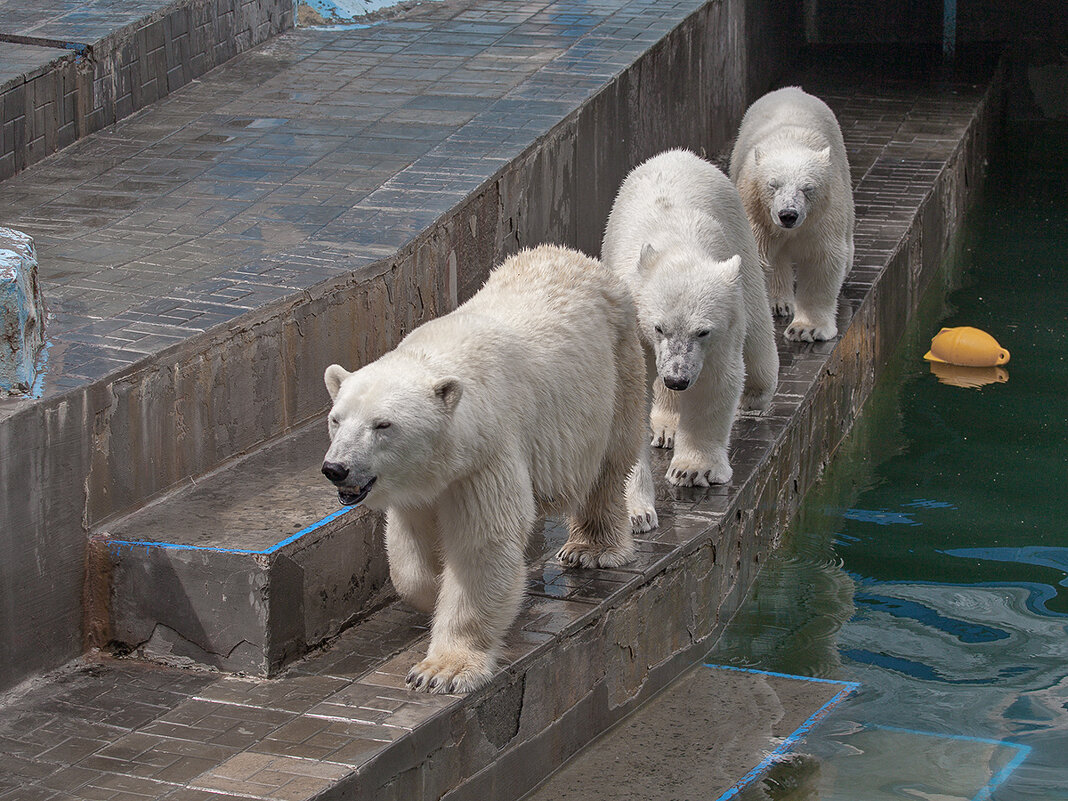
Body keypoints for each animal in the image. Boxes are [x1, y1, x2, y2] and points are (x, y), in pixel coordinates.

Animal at [318, 244, 640, 696]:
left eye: (382, 425)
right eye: (336, 419)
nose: (337, 468)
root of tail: (574, 255)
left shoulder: (487, 455)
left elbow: (482, 546)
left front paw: (441, 671)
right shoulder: (420, 483)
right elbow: (411, 554)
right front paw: (433, 589)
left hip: (616, 367)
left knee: (609, 464)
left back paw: (592, 548)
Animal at [602, 149, 777, 527]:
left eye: (702, 331)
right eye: (659, 327)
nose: (677, 379)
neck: (675, 246)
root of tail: (678, 154)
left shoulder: (722, 325)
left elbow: (716, 380)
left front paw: (691, 470)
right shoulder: (631, 323)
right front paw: (638, 513)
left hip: (739, 231)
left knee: (757, 322)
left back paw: (756, 394)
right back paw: (665, 425)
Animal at [730, 87, 854, 341]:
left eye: (807, 188)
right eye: (772, 184)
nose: (788, 214)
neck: (789, 142)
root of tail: (792, 90)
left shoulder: (823, 216)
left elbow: (821, 259)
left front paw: (805, 329)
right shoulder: (755, 211)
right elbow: (757, 257)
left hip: (842, 169)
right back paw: (779, 303)